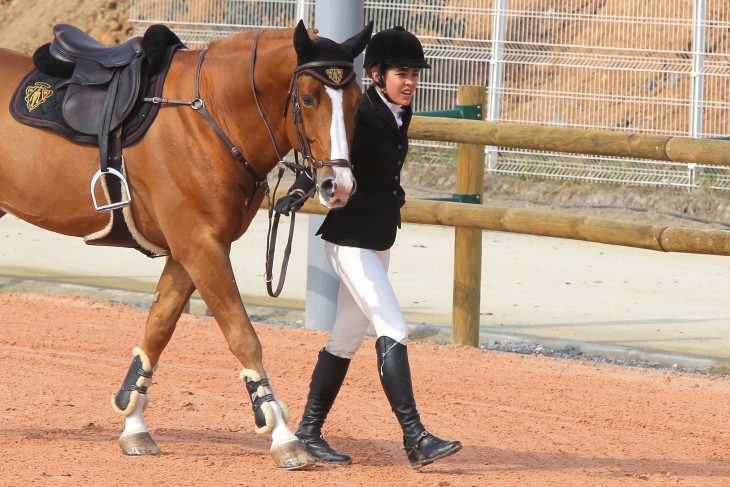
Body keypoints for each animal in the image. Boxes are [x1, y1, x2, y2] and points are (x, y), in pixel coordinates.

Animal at [0, 20, 370, 472]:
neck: (207, 113)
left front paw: (134, 426)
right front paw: (282, 435)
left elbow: (158, 328)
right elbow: (243, 335)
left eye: (356, 101)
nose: (340, 186)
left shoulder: (188, 250)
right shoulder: (200, 246)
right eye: (308, 98)